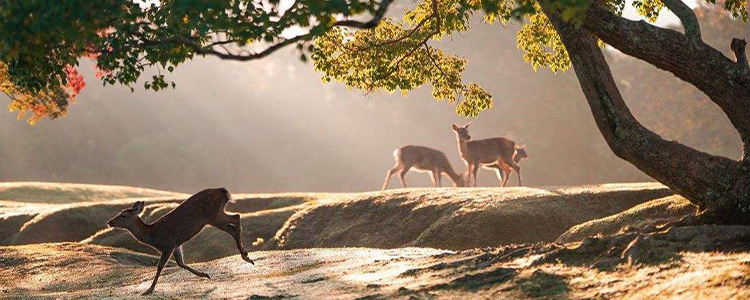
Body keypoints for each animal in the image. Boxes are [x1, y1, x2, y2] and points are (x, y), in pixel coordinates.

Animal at [107, 188, 256, 296]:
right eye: (119, 212)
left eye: (124, 215)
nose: (109, 221)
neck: (153, 236)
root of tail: (223, 191)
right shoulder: (176, 245)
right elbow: (181, 263)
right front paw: (204, 274)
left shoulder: (168, 244)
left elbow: (160, 266)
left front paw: (149, 290)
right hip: (215, 218)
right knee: (233, 227)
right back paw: (246, 255)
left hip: (214, 216)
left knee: (236, 217)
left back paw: (245, 255)